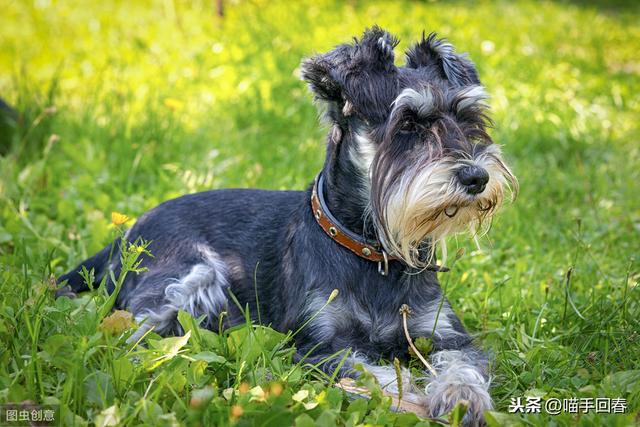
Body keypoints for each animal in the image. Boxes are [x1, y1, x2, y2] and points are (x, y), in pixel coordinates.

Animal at [57, 28, 516, 426]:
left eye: (468, 118)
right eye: (408, 124)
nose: (476, 177)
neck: (372, 251)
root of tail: (128, 232)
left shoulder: (445, 335)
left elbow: (462, 365)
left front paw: (461, 399)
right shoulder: (316, 344)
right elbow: (373, 373)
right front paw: (413, 400)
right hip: (189, 276)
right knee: (133, 337)